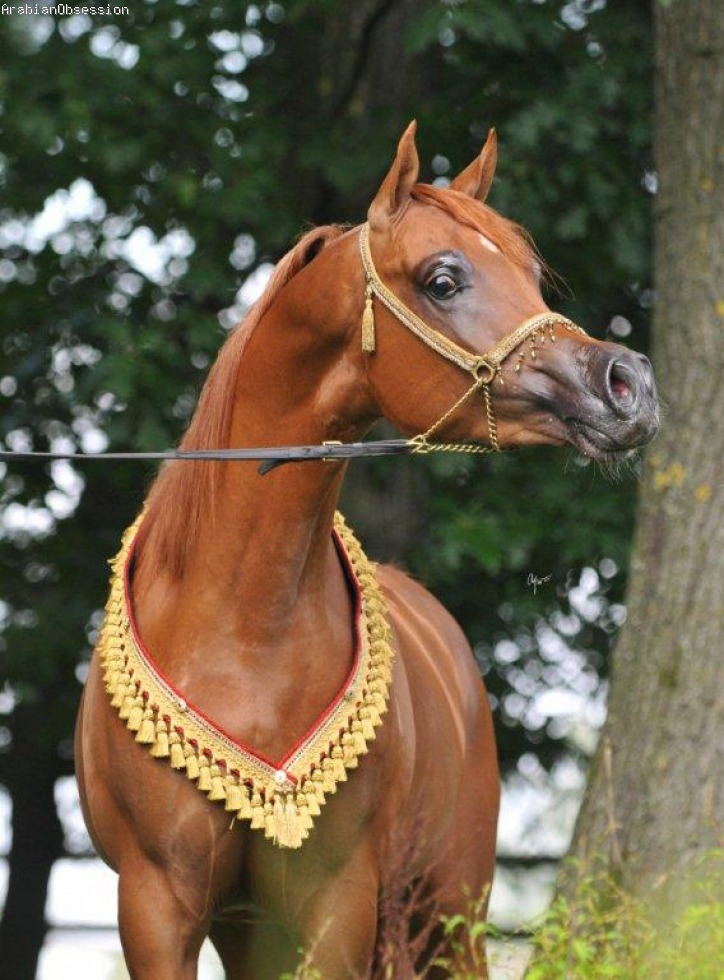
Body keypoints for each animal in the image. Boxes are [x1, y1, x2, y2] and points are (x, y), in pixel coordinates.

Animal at [75, 123, 659, 979]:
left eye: (531, 272)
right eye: (444, 279)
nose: (628, 384)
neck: (242, 628)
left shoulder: (338, 905)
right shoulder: (156, 908)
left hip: (450, 907)